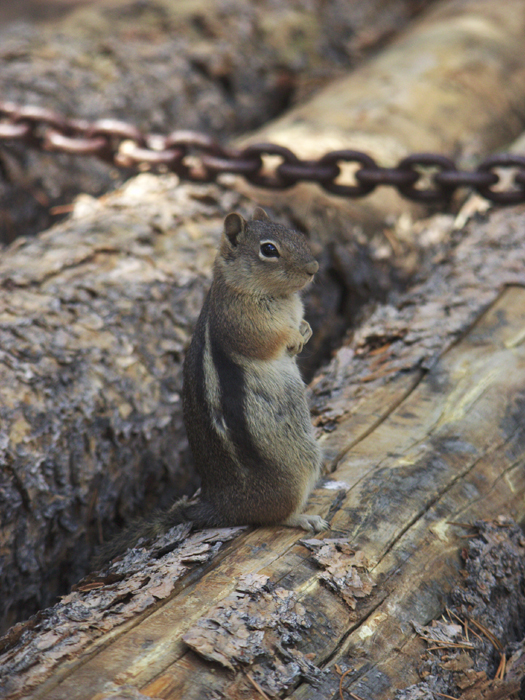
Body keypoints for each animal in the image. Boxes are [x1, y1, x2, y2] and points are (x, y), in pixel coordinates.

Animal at [97, 207, 327, 564]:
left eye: (297, 235)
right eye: (269, 250)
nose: (313, 269)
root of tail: (220, 506)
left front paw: (305, 331)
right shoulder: (241, 322)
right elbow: (268, 341)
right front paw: (293, 336)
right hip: (299, 467)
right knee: (272, 517)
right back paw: (303, 517)